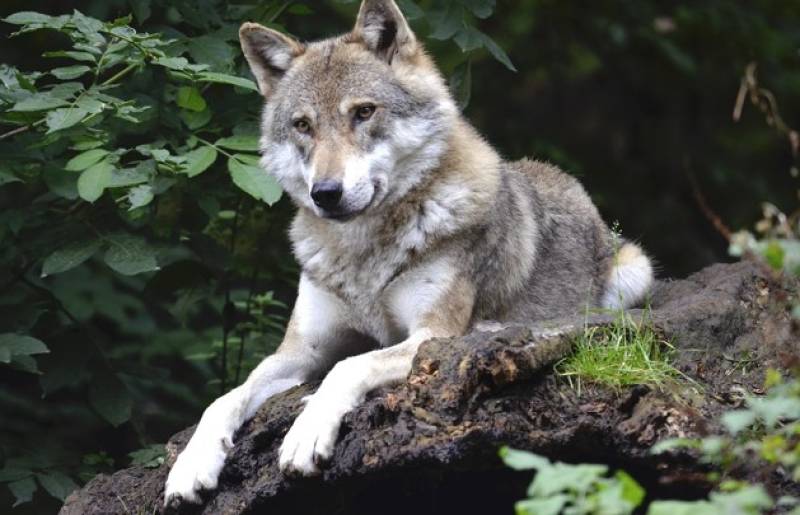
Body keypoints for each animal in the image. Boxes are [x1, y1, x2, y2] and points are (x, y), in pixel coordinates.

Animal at [164, 0, 653, 506]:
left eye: (364, 112)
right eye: (303, 125)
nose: (326, 193)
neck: (364, 254)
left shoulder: (430, 335)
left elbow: (348, 366)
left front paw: (306, 432)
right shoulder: (301, 349)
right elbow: (225, 397)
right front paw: (191, 465)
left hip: (634, 273)